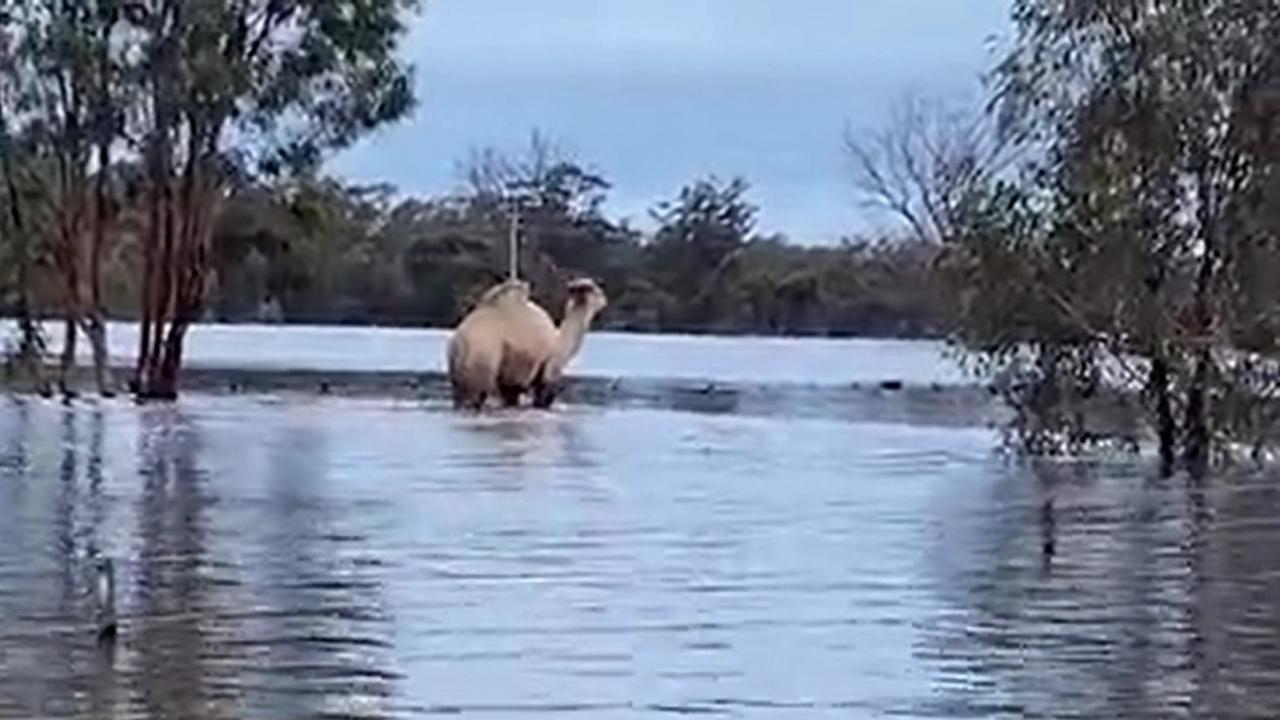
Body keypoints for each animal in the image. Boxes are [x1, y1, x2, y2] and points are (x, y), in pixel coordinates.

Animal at [448, 275, 606, 409]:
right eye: (597, 290)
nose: (604, 300)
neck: (559, 342)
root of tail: (459, 343)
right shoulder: (548, 369)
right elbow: (543, 398)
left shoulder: (510, 382)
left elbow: (511, 398)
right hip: (483, 358)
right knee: (477, 394)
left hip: (458, 374)